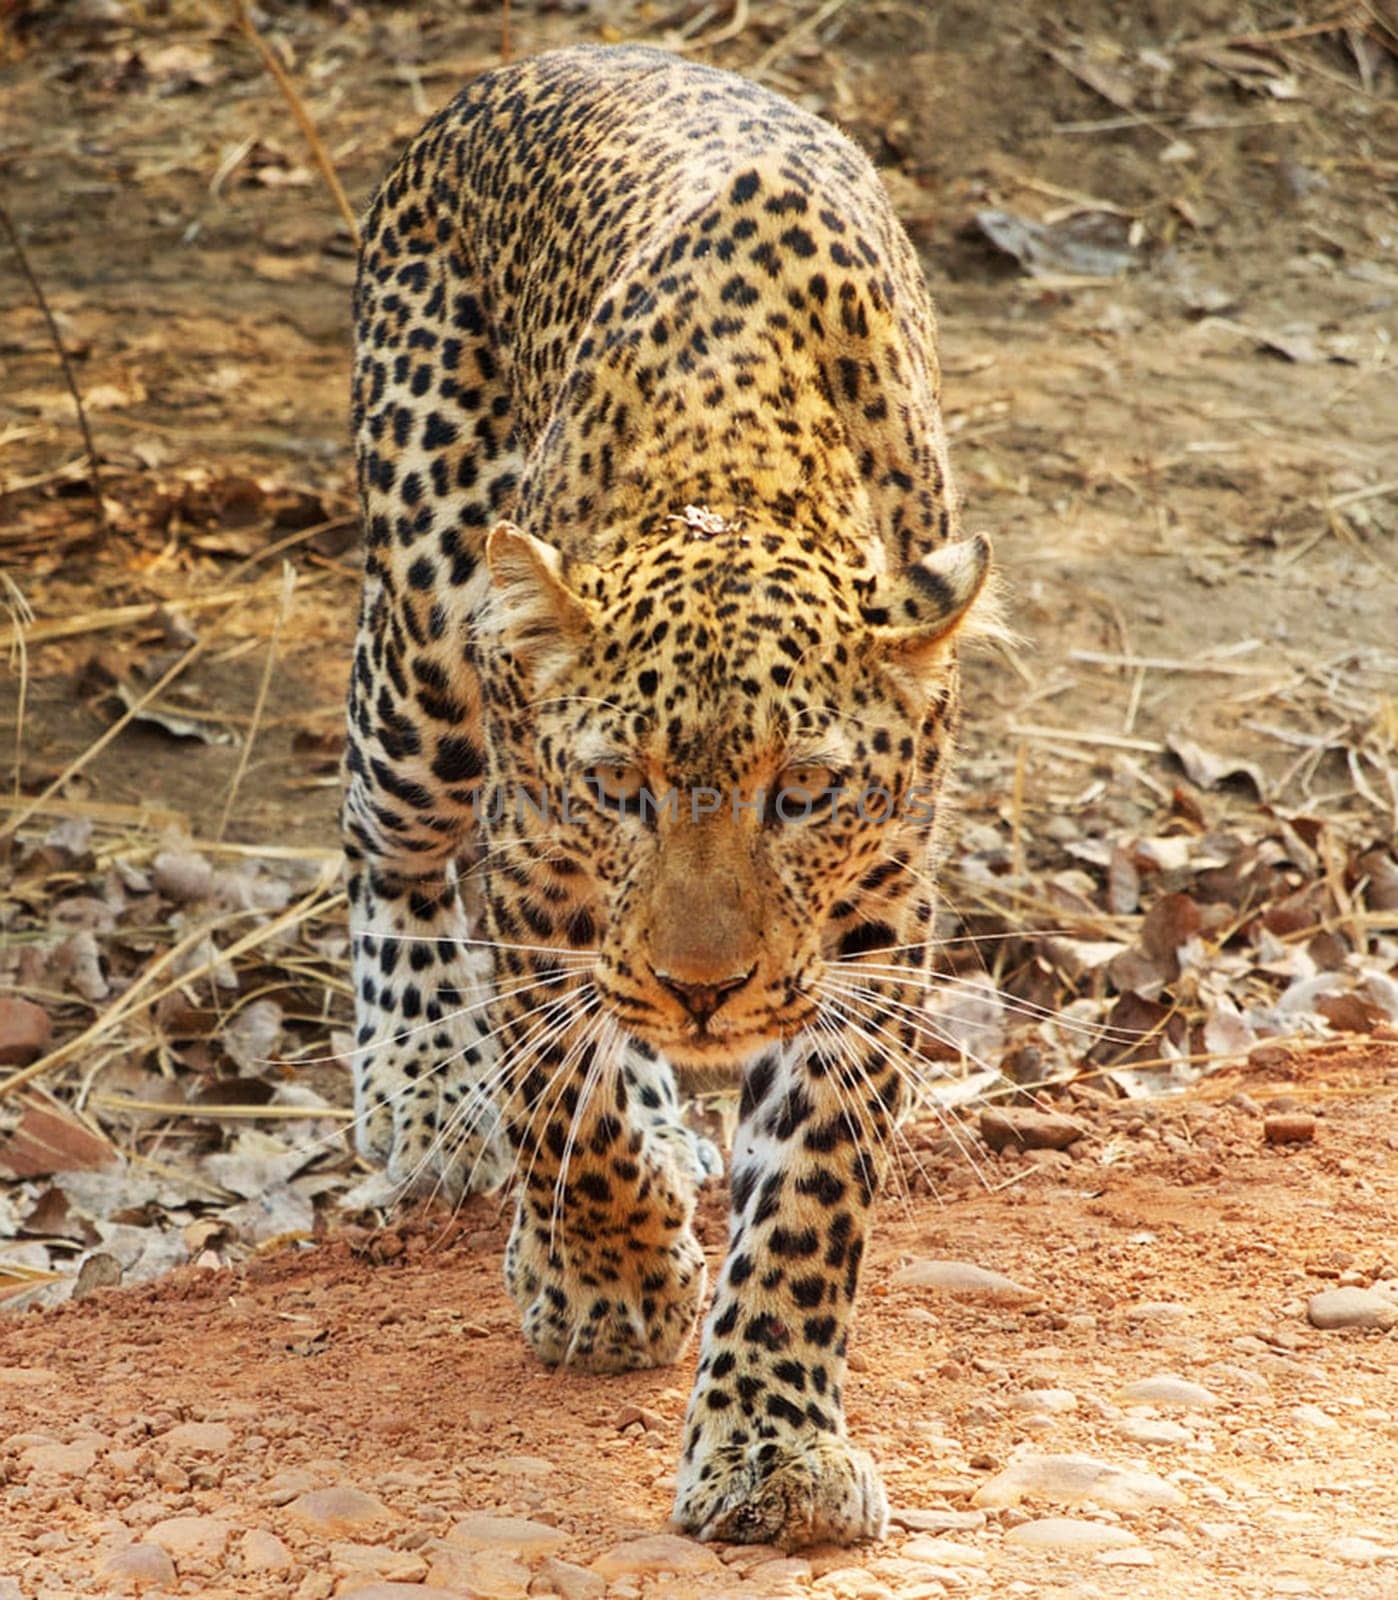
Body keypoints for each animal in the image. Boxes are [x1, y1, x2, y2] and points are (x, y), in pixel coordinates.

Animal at [337, 46, 991, 1548]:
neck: (736, 476)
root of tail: (536, 65)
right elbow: (560, 1098)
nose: (707, 990)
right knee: (385, 839)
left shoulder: (873, 920)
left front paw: (773, 1447)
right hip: (426, 644)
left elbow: (809, 1195)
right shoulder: (533, 857)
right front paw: (605, 1279)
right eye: (619, 788)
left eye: (802, 792)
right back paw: (427, 1088)